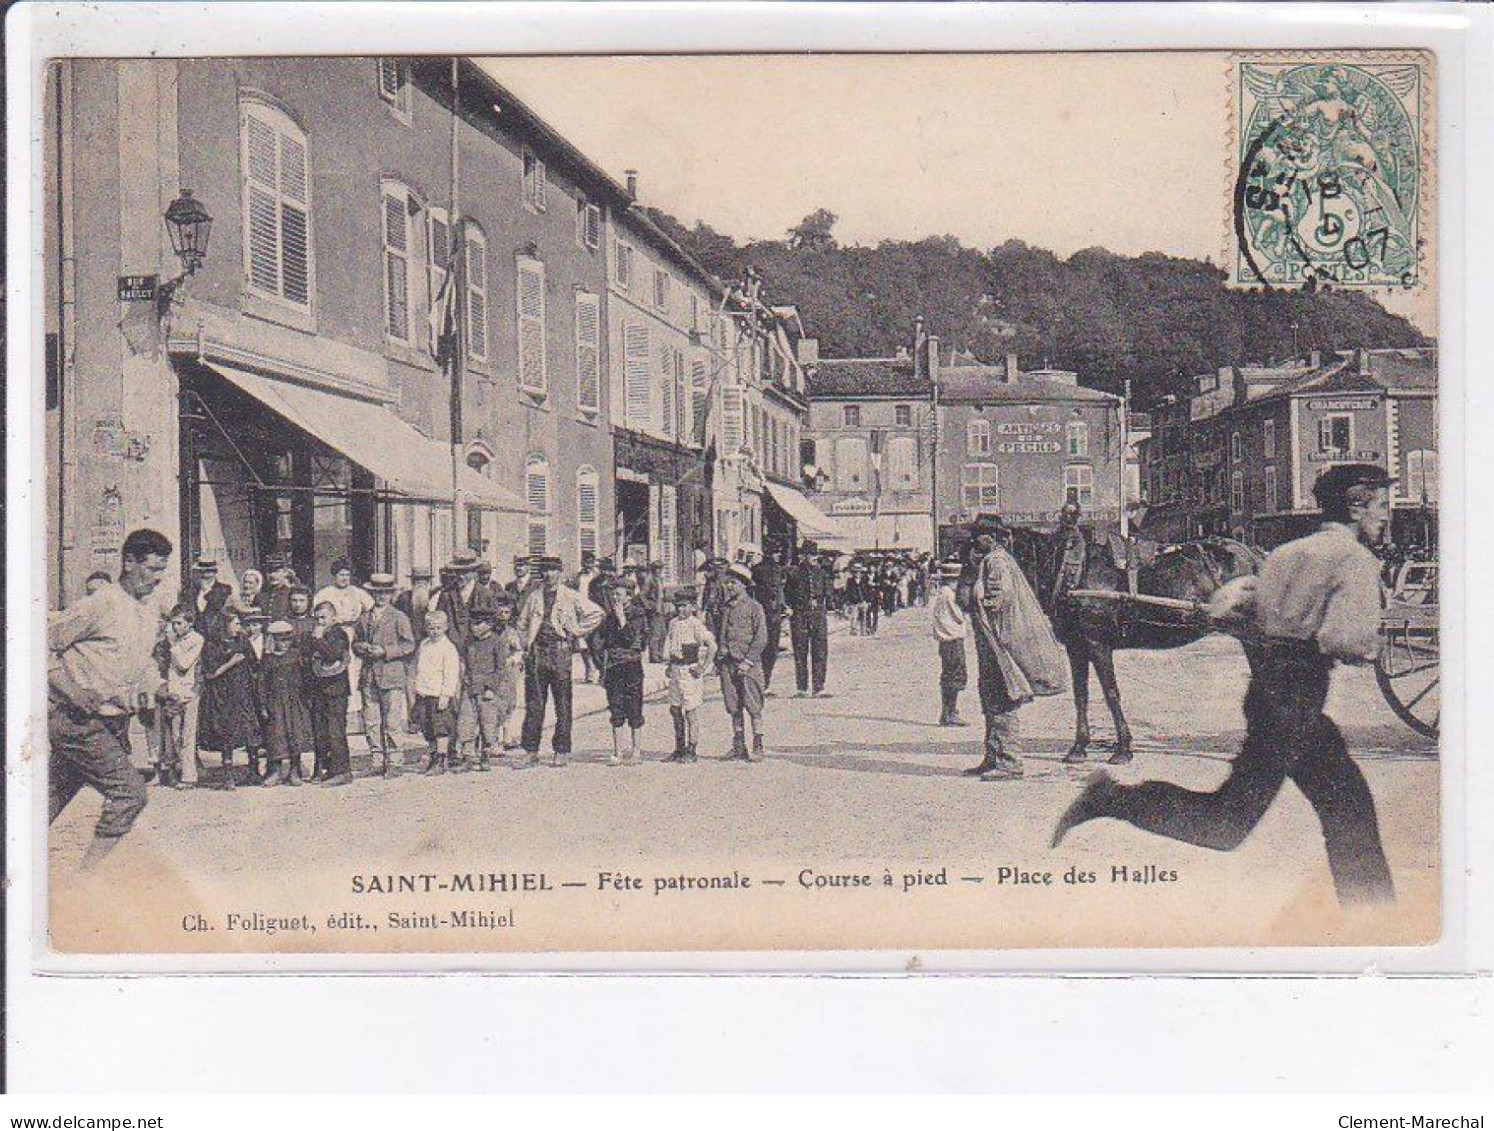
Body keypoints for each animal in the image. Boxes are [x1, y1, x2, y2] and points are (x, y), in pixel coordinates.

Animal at [1003, 525, 1260, 761]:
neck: (1072, 569)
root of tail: (1254, 555)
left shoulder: (1097, 642)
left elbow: (1111, 693)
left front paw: (1123, 749)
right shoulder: (1076, 646)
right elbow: (1081, 695)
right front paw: (1078, 748)